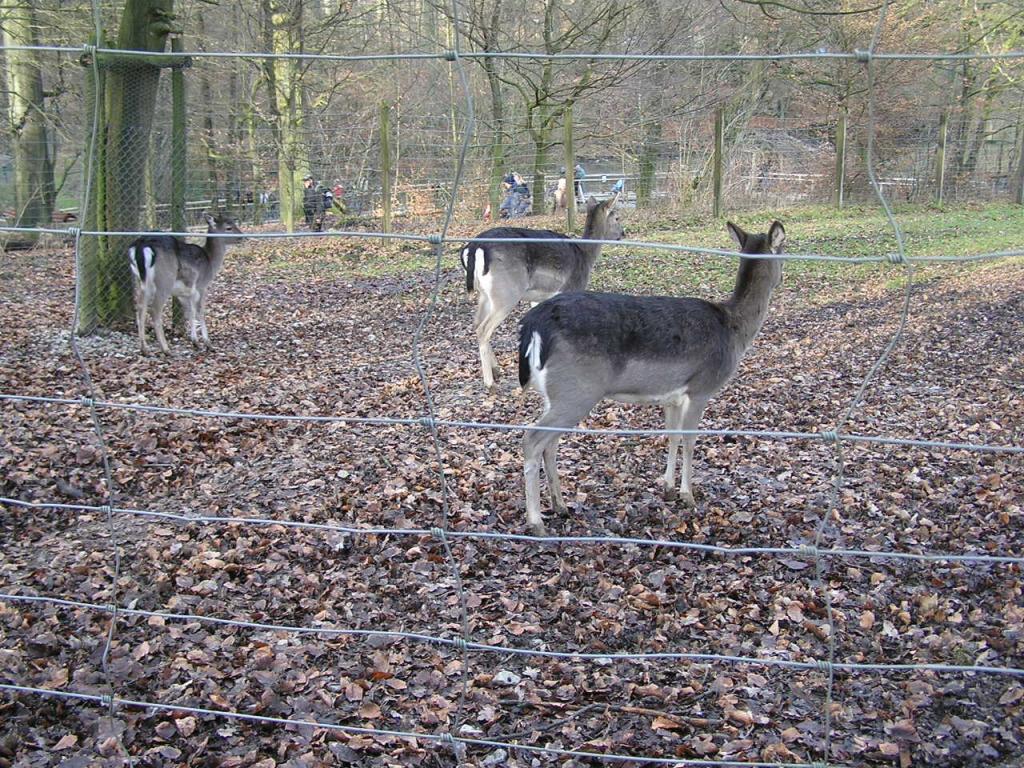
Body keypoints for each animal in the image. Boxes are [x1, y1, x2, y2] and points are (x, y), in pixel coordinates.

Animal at [127, 213, 244, 355]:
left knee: (140, 307)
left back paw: (144, 348)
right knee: (154, 309)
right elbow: (200, 311)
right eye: (228, 227)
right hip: (165, 280)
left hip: (141, 280)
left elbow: (190, 312)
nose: (242, 236)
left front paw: (195, 342)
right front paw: (208, 343)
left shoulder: (182, 293)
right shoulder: (201, 286)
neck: (210, 261)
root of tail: (140, 246)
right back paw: (165, 349)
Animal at [460, 195, 624, 390]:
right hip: (506, 292)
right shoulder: (571, 288)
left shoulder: (539, 298)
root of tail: (474, 247)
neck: (585, 256)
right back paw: (489, 381)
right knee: (484, 329)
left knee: (476, 323)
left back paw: (497, 369)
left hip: (485, 294)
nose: (623, 234)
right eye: (617, 217)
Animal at [517, 220, 786, 536]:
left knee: (550, 443)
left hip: (558, 394)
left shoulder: (672, 396)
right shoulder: (701, 387)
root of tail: (534, 324)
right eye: (783, 253)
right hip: (576, 391)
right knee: (532, 439)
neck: (734, 331)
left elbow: (672, 436)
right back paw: (536, 521)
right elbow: (691, 441)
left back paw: (560, 505)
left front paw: (667, 487)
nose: (781, 279)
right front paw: (688, 495)